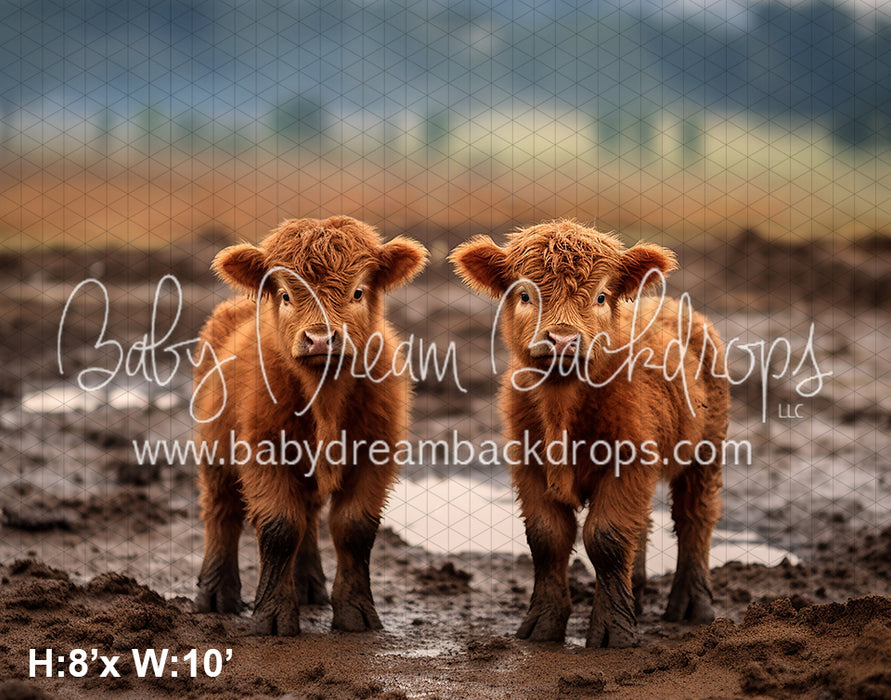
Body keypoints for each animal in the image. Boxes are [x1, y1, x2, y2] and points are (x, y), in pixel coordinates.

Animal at [193, 215, 427, 635]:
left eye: (358, 292)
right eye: (286, 295)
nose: (320, 338)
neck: (325, 398)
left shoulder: (376, 454)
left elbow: (353, 528)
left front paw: (355, 613)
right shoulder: (264, 450)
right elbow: (280, 527)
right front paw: (271, 616)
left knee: (307, 515)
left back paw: (307, 587)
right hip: (215, 451)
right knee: (222, 513)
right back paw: (216, 595)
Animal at [450, 219, 729, 648]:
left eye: (600, 296)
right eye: (525, 294)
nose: (563, 339)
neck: (562, 407)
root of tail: (672, 306)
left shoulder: (629, 461)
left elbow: (606, 538)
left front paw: (614, 632)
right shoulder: (528, 465)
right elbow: (547, 539)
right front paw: (543, 624)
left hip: (706, 452)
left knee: (695, 517)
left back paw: (692, 606)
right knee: (645, 525)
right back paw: (638, 594)